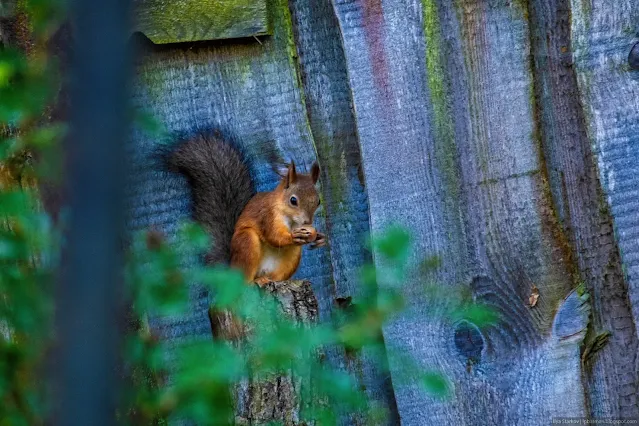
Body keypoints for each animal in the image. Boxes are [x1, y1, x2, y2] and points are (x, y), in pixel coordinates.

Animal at [168, 132, 326, 286]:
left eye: (318, 201)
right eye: (293, 200)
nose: (307, 222)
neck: (290, 219)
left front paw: (320, 238)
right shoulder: (267, 215)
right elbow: (274, 236)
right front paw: (293, 236)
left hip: (292, 256)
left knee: (276, 275)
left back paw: (270, 279)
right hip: (247, 242)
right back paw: (255, 281)